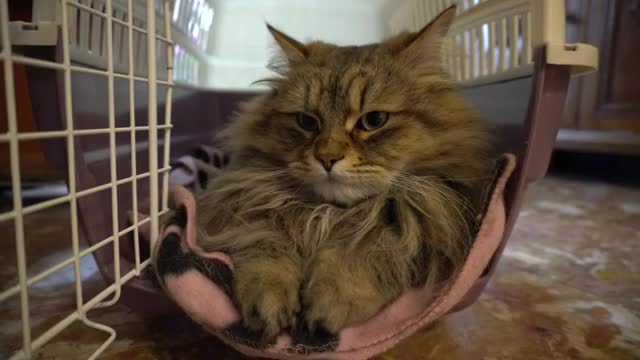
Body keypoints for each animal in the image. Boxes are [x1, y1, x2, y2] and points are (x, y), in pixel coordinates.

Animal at [194, 6, 490, 344]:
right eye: (306, 121)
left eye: (374, 120)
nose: (327, 158)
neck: (332, 213)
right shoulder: (249, 213)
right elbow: (266, 249)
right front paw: (268, 303)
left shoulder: (414, 223)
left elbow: (362, 255)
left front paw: (326, 306)